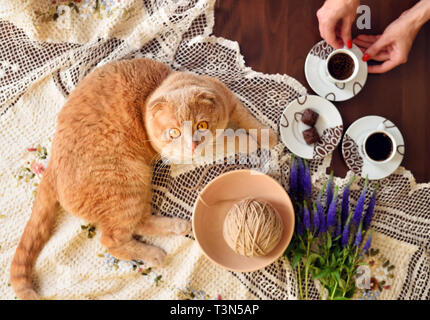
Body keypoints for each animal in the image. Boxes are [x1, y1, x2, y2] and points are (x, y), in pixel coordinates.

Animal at [10, 58, 278, 300]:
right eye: (174, 132)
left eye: (201, 125)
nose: (192, 144)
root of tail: (52, 166)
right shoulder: (181, 154)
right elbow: (223, 143)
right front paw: (245, 142)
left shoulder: (228, 98)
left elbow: (247, 118)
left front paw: (268, 137)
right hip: (128, 187)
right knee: (112, 239)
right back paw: (154, 254)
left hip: (138, 188)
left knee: (140, 222)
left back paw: (177, 226)